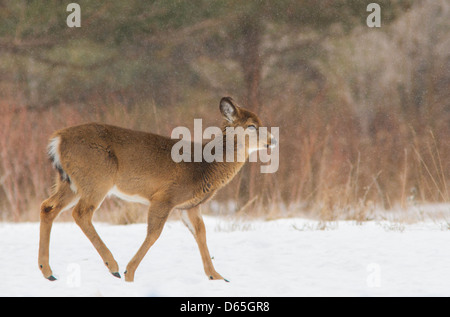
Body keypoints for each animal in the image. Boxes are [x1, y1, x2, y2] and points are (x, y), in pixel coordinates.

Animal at [38, 97, 276, 282]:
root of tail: (57, 139)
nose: (272, 140)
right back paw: (113, 266)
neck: (204, 166)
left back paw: (48, 271)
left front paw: (217, 276)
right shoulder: (165, 196)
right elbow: (154, 233)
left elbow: (201, 233)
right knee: (81, 213)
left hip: (70, 182)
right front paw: (130, 273)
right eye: (252, 125)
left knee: (48, 207)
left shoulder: (188, 206)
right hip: (97, 178)